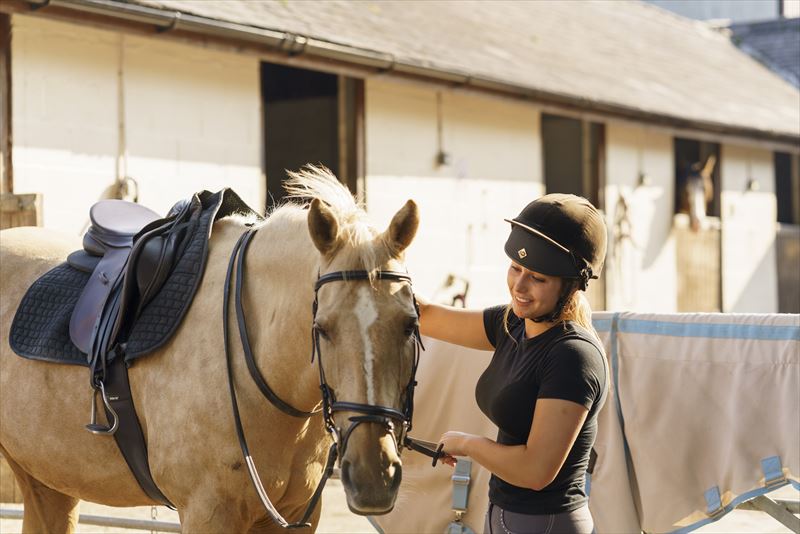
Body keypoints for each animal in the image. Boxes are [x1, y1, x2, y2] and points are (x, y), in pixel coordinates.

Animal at [0, 170, 422, 532]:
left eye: (409, 325)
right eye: (322, 329)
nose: (373, 476)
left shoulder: (294, 515)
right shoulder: (208, 512)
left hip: (45, 479)